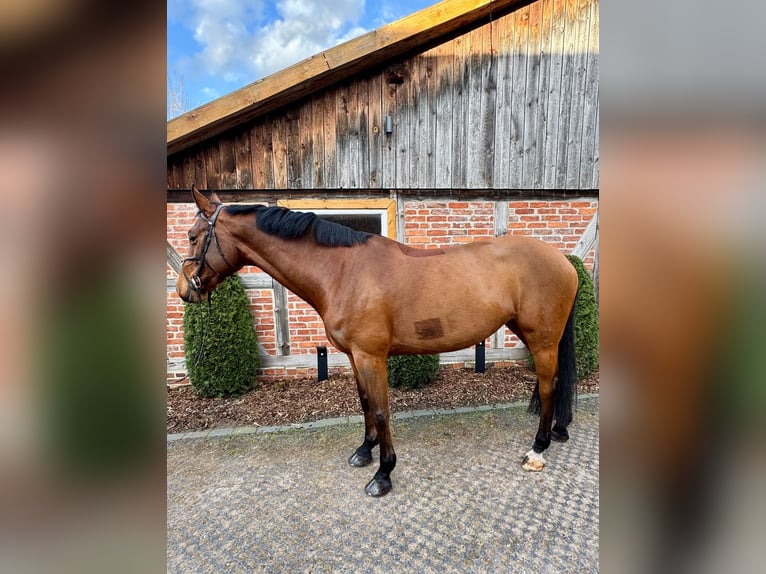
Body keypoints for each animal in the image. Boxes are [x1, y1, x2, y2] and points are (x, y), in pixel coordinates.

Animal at [176, 187, 579, 497]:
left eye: (193, 236)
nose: (184, 291)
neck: (341, 272)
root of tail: (565, 261)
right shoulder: (355, 356)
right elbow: (366, 403)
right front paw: (364, 451)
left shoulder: (372, 356)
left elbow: (383, 410)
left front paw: (383, 474)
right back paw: (558, 432)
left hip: (542, 340)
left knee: (549, 386)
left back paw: (537, 449)